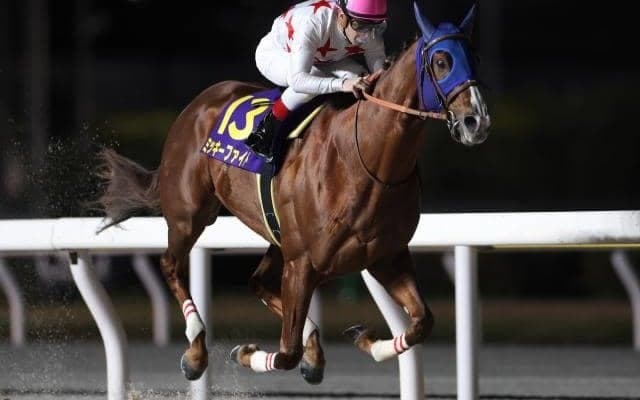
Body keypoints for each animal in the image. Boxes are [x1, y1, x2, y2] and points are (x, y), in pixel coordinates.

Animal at [96, 2, 490, 384]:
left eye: (474, 56)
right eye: (441, 61)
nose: (477, 122)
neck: (367, 161)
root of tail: (197, 104)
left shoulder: (387, 256)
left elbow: (422, 322)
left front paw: (366, 341)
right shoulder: (303, 262)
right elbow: (286, 354)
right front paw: (247, 353)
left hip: (277, 235)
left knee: (257, 282)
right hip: (189, 214)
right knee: (172, 266)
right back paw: (195, 350)